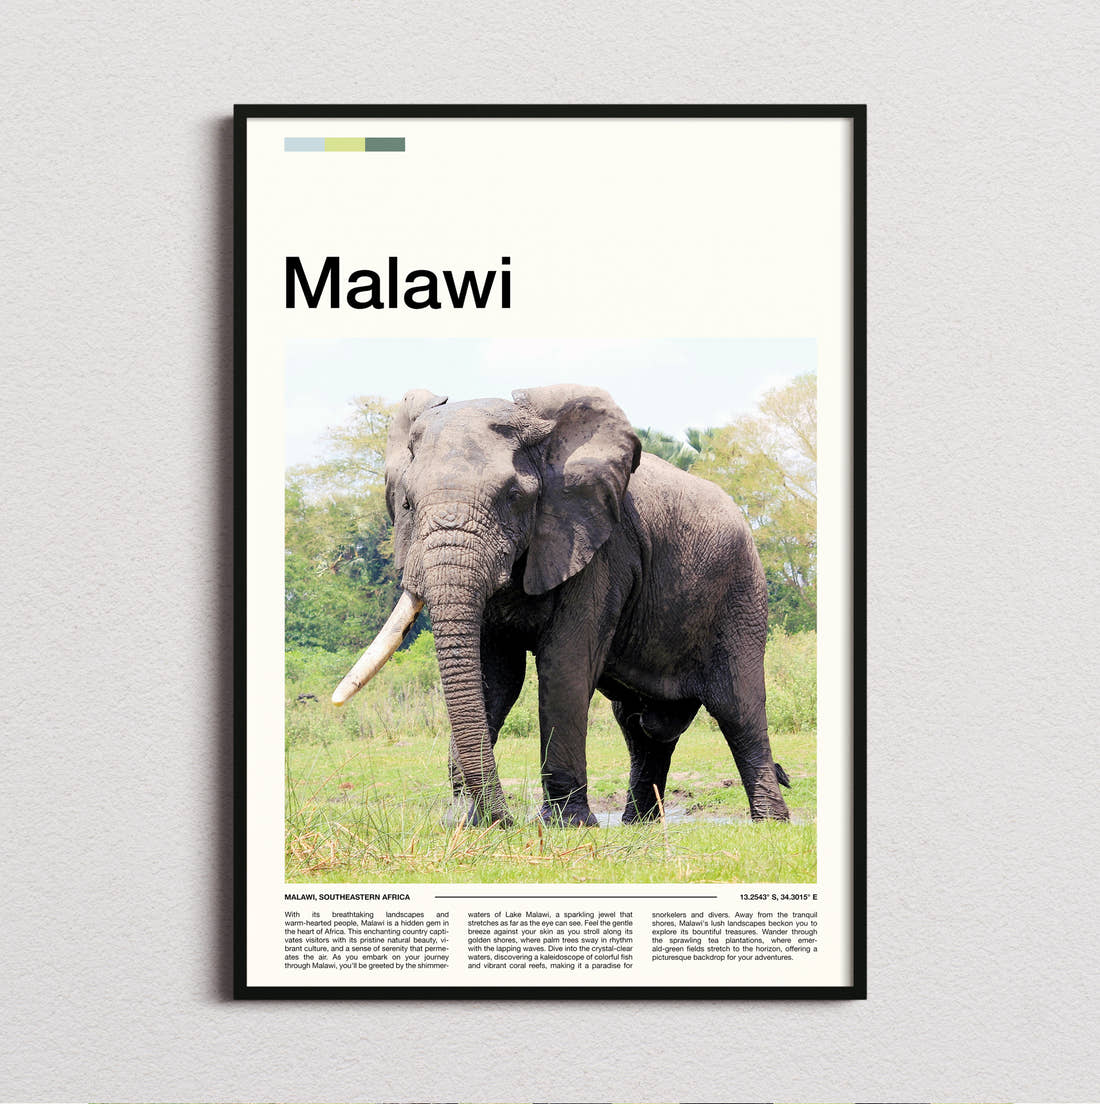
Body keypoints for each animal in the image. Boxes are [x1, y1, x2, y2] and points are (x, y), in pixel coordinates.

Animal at [333, 384, 791, 827]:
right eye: (407, 503)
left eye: (513, 495)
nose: (505, 819)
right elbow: (493, 675)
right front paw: (463, 821)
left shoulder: (598, 547)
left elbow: (564, 665)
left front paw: (566, 824)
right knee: (641, 727)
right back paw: (639, 824)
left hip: (741, 592)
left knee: (738, 709)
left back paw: (770, 822)